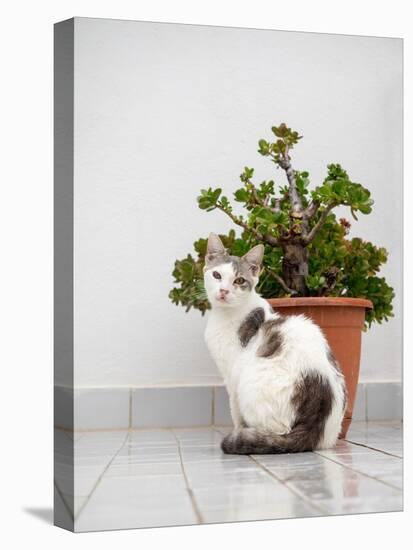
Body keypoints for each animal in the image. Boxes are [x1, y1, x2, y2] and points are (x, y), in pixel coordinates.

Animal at [203, 235, 344, 454]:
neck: (227, 313)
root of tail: (314, 428)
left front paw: (238, 430)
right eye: (217, 275)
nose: (224, 291)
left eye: (239, 280)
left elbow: (235, 412)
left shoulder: (232, 376)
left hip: (251, 385)